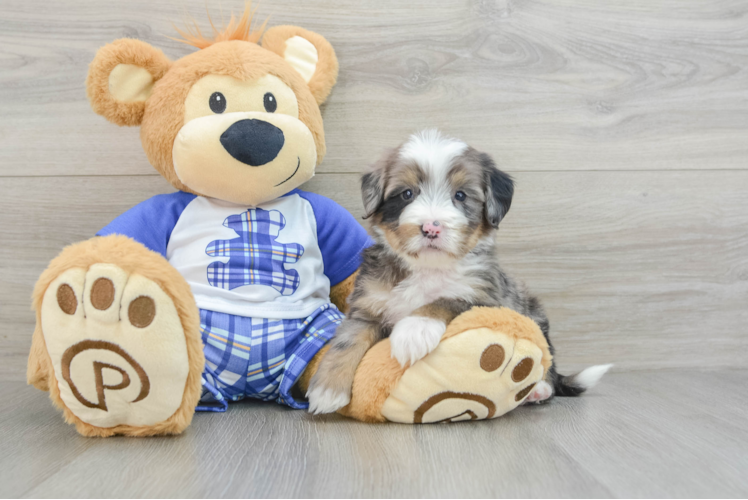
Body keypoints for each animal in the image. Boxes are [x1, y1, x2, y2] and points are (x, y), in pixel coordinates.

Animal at [306, 129, 612, 414]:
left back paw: (540, 389)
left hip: (534, 315)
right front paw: (327, 390)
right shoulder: (368, 303)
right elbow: (348, 339)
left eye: (461, 195)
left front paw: (415, 331)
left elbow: (446, 300)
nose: (431, 228)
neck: (428, 267)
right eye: (407, 194)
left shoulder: (485, 299)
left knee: (547, 357)